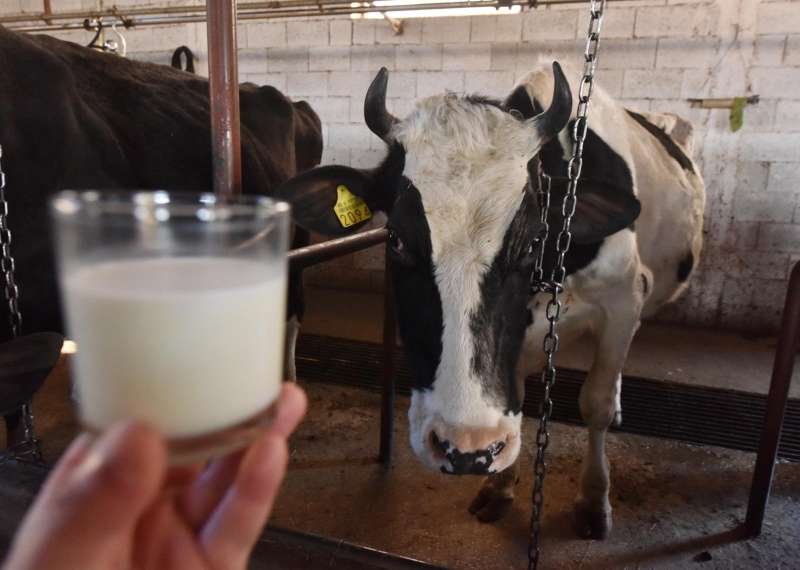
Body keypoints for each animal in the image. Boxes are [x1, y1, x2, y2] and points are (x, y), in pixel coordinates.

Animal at [278, 58, 704, 536]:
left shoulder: (625, 298)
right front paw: (500, 485)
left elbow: (593, 403)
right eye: (396, 239)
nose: (465, 449)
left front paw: (594, 500)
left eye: (535, 238)